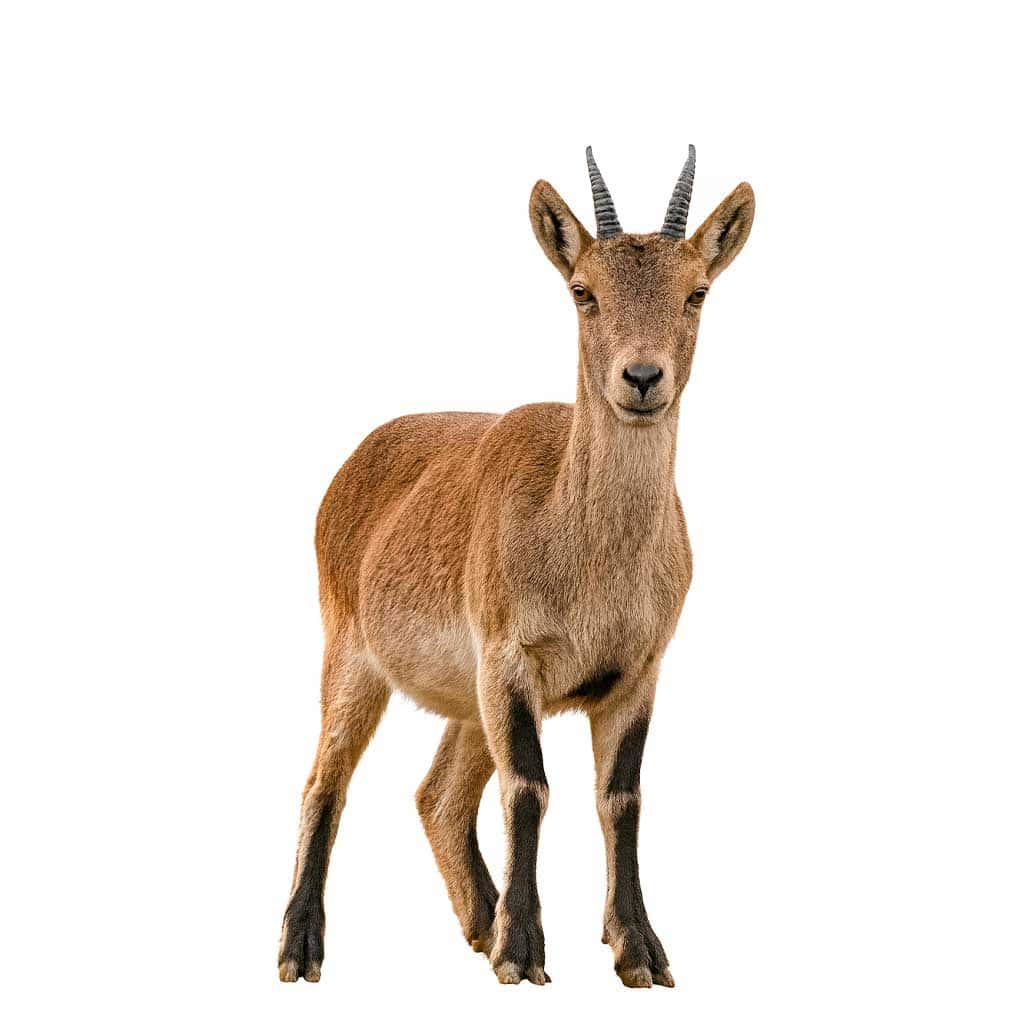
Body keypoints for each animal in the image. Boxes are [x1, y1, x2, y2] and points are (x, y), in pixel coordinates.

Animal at [279, 146, 755, 988]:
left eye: (696, 291)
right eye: (583, 292)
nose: (642, 378)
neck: (589, 563)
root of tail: (354, 463)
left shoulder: (636, 673)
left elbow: (621, 797)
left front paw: (639, 950)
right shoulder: (510, 657)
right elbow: (529, 788)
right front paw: (524, 951)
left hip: (466, 699)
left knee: (437, 795)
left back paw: (480, 918)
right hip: (352, 653)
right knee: (325, 779)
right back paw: (303, 947)